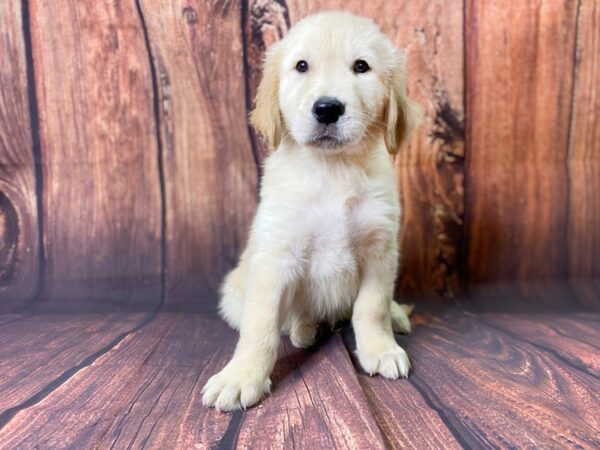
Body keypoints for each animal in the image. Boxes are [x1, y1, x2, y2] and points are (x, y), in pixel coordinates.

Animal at [204, 10, 420, 412]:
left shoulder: (379, 249)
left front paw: (380, 349)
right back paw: (305, 328)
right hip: (233, 293)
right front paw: (240, 377)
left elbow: (372, 307)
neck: (332, 169)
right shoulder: (276, 257)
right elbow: (260, 326)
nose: (327, 108)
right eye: (301, 66)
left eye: (361, 66)